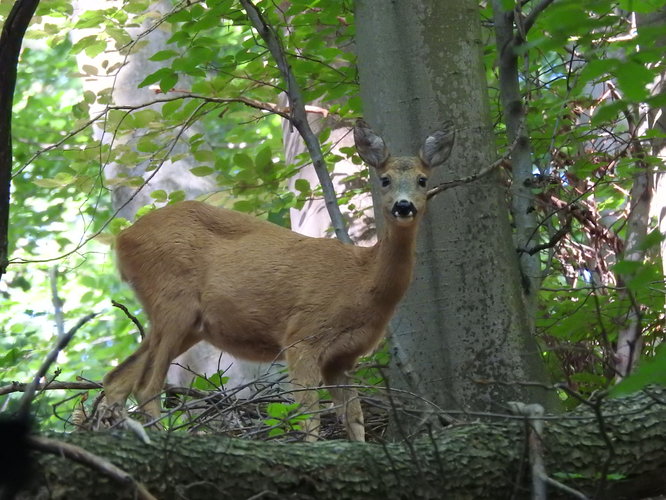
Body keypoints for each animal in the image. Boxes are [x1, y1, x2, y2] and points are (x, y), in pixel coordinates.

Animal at [104, 121, 454, 442]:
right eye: (385, 180)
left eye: (422, 180)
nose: (403, 206)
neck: (364, 281)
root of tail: (123, 239)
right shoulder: (302, 335)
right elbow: (310, 414)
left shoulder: (342, 358)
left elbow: (354, 418)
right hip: (173, 299)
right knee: (145, 387)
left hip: (186, 323)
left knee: (116, 380)